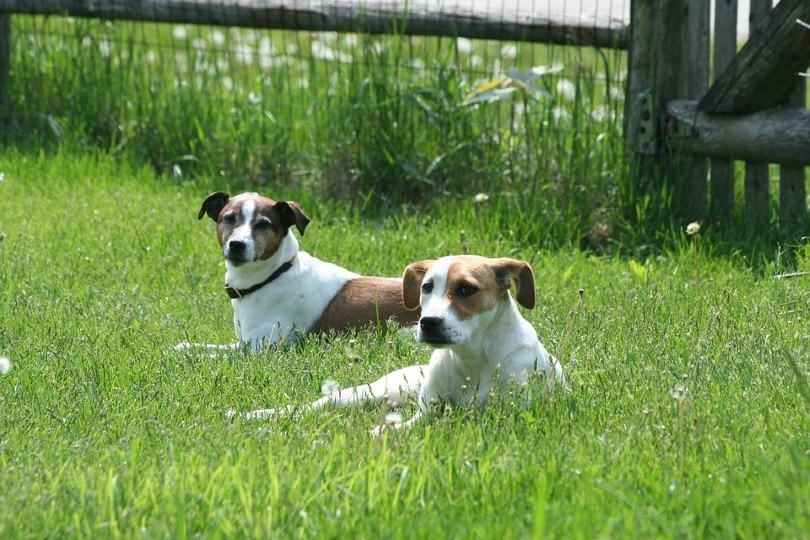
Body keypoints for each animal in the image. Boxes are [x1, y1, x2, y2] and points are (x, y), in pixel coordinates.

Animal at [194, 192, 416, 352]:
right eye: (229, 218)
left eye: (263, 224)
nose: (237, 245)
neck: (274, 275)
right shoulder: (241, 344)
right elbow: (198, 347)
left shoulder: (260, 350)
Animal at [232, 255, 560, 432]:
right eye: (427, 287)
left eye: (467, 289)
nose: (428, 322)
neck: (471, 359)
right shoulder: (426, 411)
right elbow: (423, 420)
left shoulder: (504, 416)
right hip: (368, 392)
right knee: (314, 406)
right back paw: (251, 415)